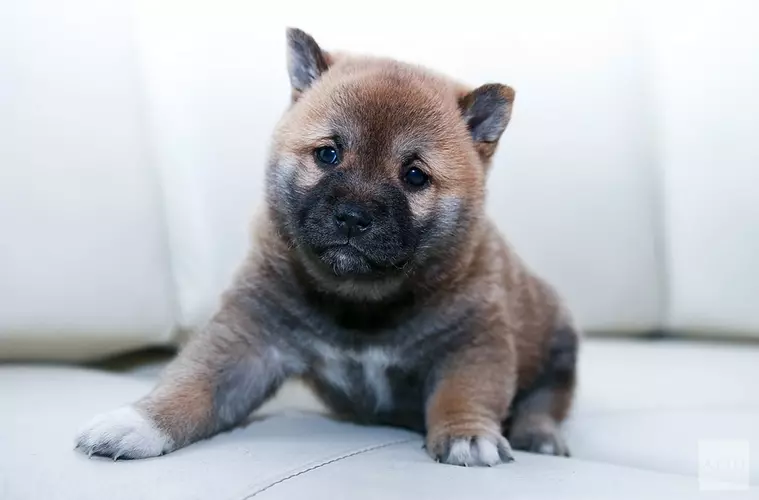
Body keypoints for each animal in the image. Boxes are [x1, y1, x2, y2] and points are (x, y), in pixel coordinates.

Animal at [75, 26, 576, 464]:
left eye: (415, 176)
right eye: (328, 154)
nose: (353, 217)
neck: (360, 304)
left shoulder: (472, 343)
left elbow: (463, 393)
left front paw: (467, 436)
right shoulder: (250, 337)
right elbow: (194, 382)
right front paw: (138, 423)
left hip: (558, 345)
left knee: (547, 400)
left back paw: (539, 435)